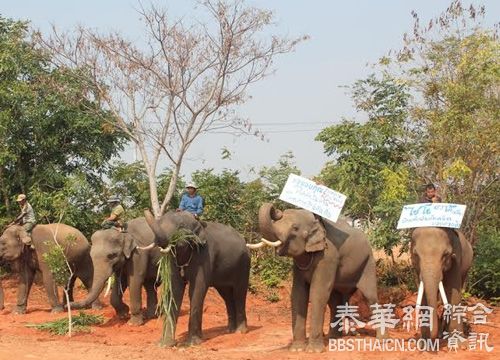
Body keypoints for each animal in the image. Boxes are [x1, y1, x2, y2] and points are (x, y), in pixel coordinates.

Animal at [144, 210, 250, 348]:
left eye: (181, 226)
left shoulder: (204, 257)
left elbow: (197, 289)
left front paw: (192, 343)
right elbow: (175, 290)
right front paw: (165, 344)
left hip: (244, 264)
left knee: (239, 293)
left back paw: (240, 331)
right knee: (227, 295)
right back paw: (230, 330)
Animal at [254, 204, 382, 352]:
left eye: (295, 228)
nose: (277, 210)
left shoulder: (327, 258)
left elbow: (317, 293)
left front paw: (313, 351)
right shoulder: (299, 265)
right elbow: (298, 294)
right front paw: (297, 349)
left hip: (368, 263)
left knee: (371, 297)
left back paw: (382, 341)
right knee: (335, 301)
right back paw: (333, 338)